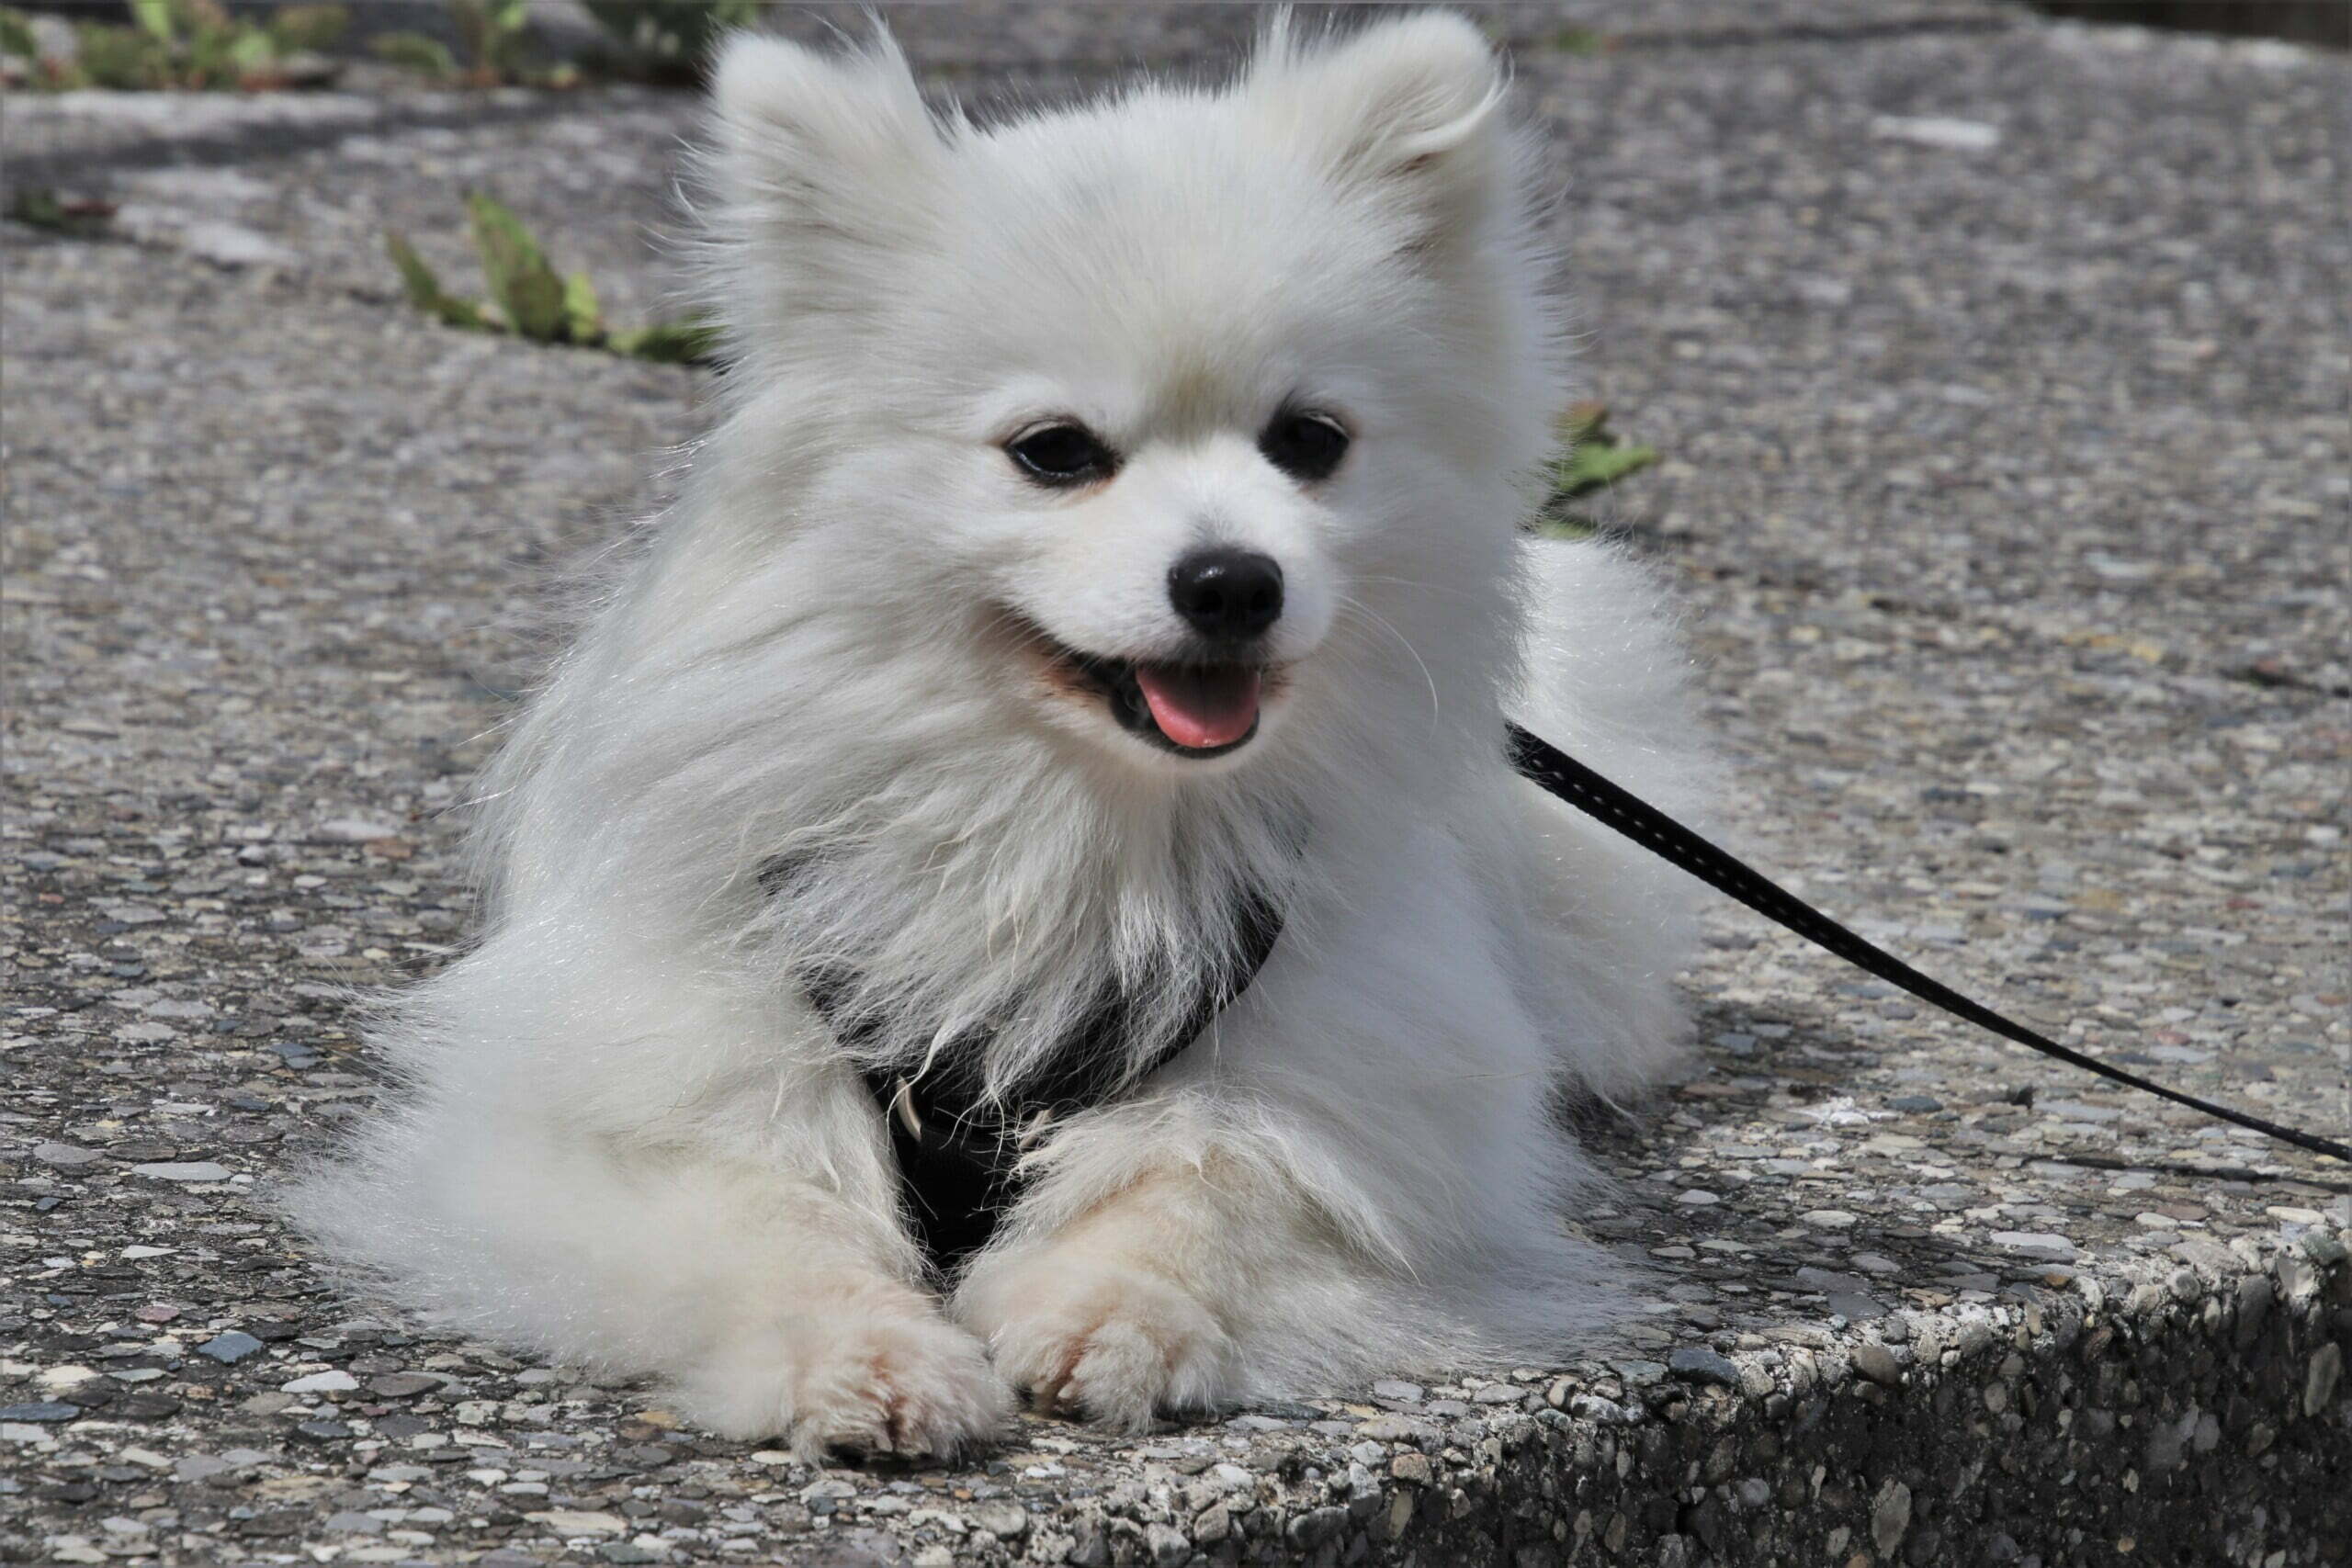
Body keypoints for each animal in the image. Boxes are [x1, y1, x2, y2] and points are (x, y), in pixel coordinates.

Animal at [303, 8, 1721, 1457]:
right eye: (1054, 451)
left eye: (1309, 441)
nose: (1233, 581)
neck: (1060, 812)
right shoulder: (636, 1084)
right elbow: (763, 1216)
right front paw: (864, 1354)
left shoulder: (1347, 1072)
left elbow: (1206, 1184)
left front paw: (1113, 1315)